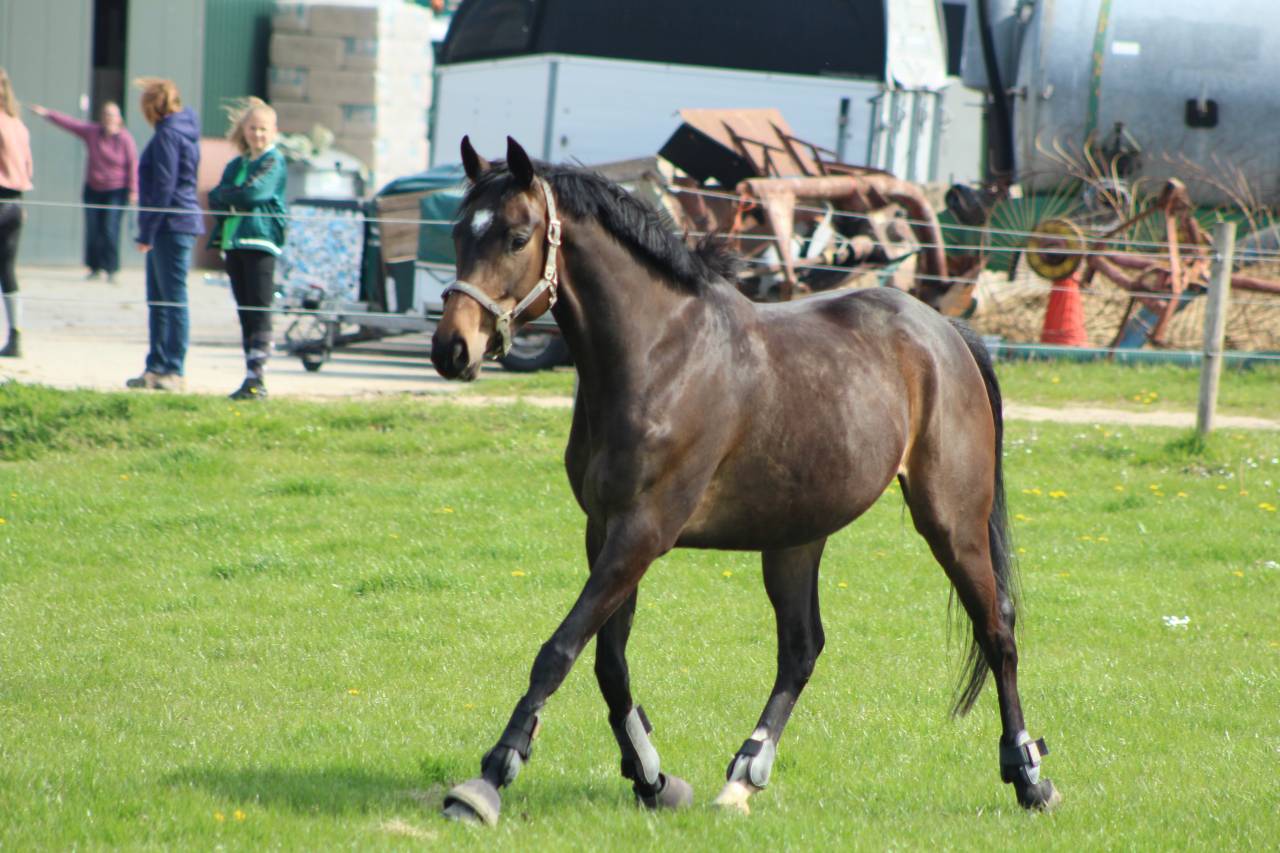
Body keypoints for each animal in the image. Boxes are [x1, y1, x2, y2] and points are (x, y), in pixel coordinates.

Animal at [428, 136, 1060, 824]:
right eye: (460, 231)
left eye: (517, 237)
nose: (452, 349)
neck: (659, 354)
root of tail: (946, 333)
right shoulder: (607, 533)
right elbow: (609, 664)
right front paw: (651, 777)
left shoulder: (641, 534)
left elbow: (560, 651)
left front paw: (490, 777)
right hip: (796, 537)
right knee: (802, 648)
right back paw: (743, 775)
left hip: (950, 523)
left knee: (997, 631)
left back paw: (1029, 776)